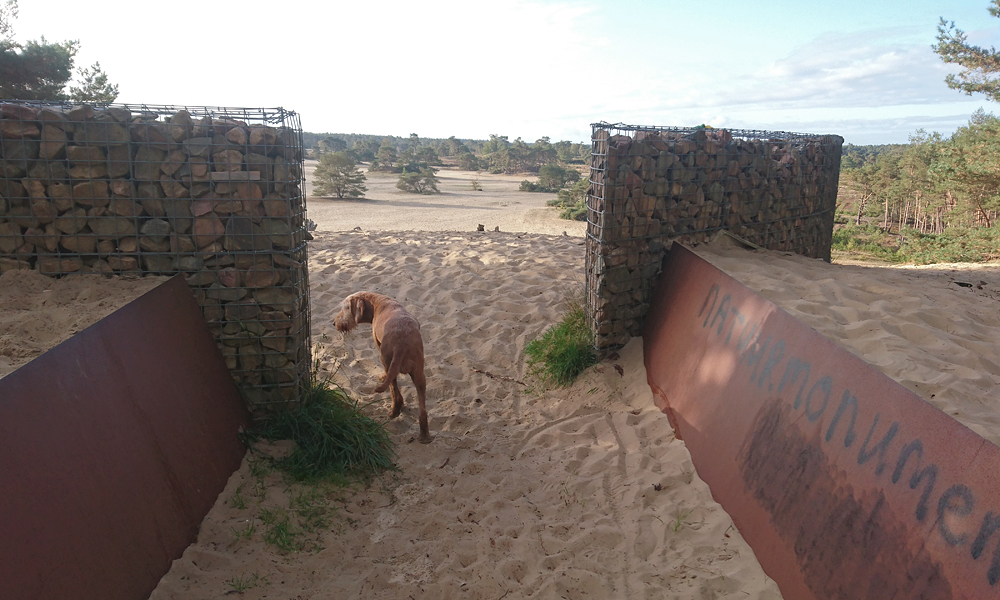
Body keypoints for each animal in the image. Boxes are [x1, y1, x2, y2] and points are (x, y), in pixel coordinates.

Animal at [334, 292, 430, 443]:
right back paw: (424, 435)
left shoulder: (378, 345)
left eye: (346, 308)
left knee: (394, 390)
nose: (334, 323)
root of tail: (401, 343)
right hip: (419, 373)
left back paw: (394, 410)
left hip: (386, 359)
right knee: (422, 409)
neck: (378, 302)